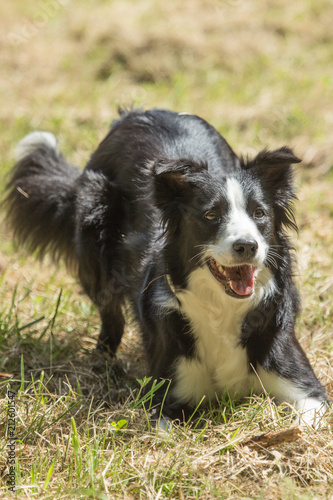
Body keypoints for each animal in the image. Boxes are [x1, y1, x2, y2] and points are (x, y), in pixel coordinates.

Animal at [5, 108, 326, 426]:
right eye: (210, 215)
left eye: (259, 213)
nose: (247, 246)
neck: (223, 308)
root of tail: (138, 112)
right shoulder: (166, 396)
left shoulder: (303, 384)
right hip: (93, 225)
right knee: (110, 313)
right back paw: (103, 361)